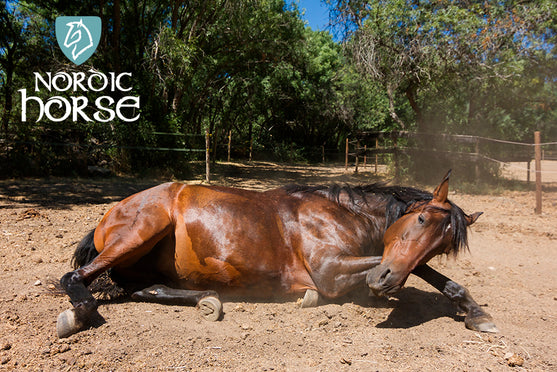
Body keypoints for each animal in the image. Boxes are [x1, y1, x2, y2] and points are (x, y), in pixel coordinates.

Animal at [56, 170, 498, 338]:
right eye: (420, 218)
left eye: (443, 245)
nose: (382, 282)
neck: (342, 212)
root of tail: (114, 209)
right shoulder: (331, 270)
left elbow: (431, 275)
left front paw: (475, 312)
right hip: (142, 230)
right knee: (75, 279)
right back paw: (78, 315)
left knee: (142, 288)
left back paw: (207, 300)